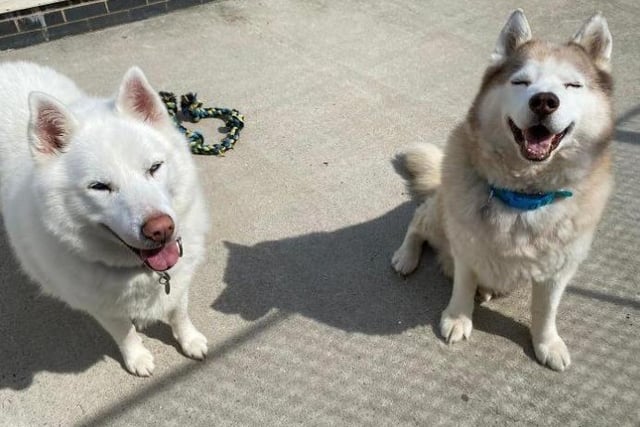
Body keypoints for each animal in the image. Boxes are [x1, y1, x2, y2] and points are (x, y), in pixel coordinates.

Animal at [0, 61, 210, 376]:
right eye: (99, 187)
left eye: (154, 168)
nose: (161, 229)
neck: (139, 270)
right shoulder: (100, 306)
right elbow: (125, 332)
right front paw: (137, 358)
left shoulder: (179, 278)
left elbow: (179, 312)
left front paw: (190, 340)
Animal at [390, 10, 616, 372]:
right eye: (520, 82)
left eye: (572, 85)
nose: (544, 101)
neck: (525, 196)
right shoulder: (466, 247)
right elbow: (462, 286)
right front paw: (458, 318)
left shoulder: (560, 268)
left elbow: (545, 310)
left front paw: (546, 343)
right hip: (439, 216)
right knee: (418, 220)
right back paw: (406, 256)